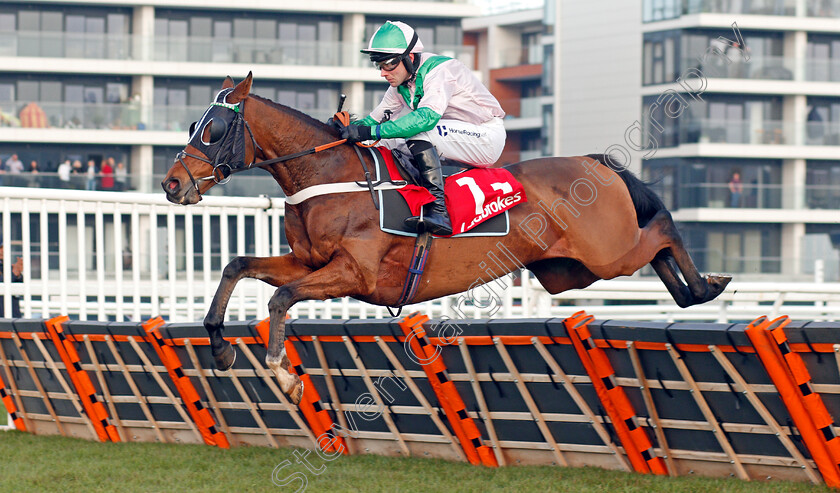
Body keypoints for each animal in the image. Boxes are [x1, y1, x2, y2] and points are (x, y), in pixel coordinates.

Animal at [162, 74, 728, 404]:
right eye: (192, 123)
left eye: (213, 130)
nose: (172, 184)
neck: (330, 175)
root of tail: (596, 163)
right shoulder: (309, 262)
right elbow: (237, 265)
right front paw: (220, 349)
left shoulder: (354, 274)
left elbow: (280, 297)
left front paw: (285, 376)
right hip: (570, 272)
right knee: (654, 248)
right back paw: (690, 291)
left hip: (608, 253)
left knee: (661, 229)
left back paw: (707, 285)